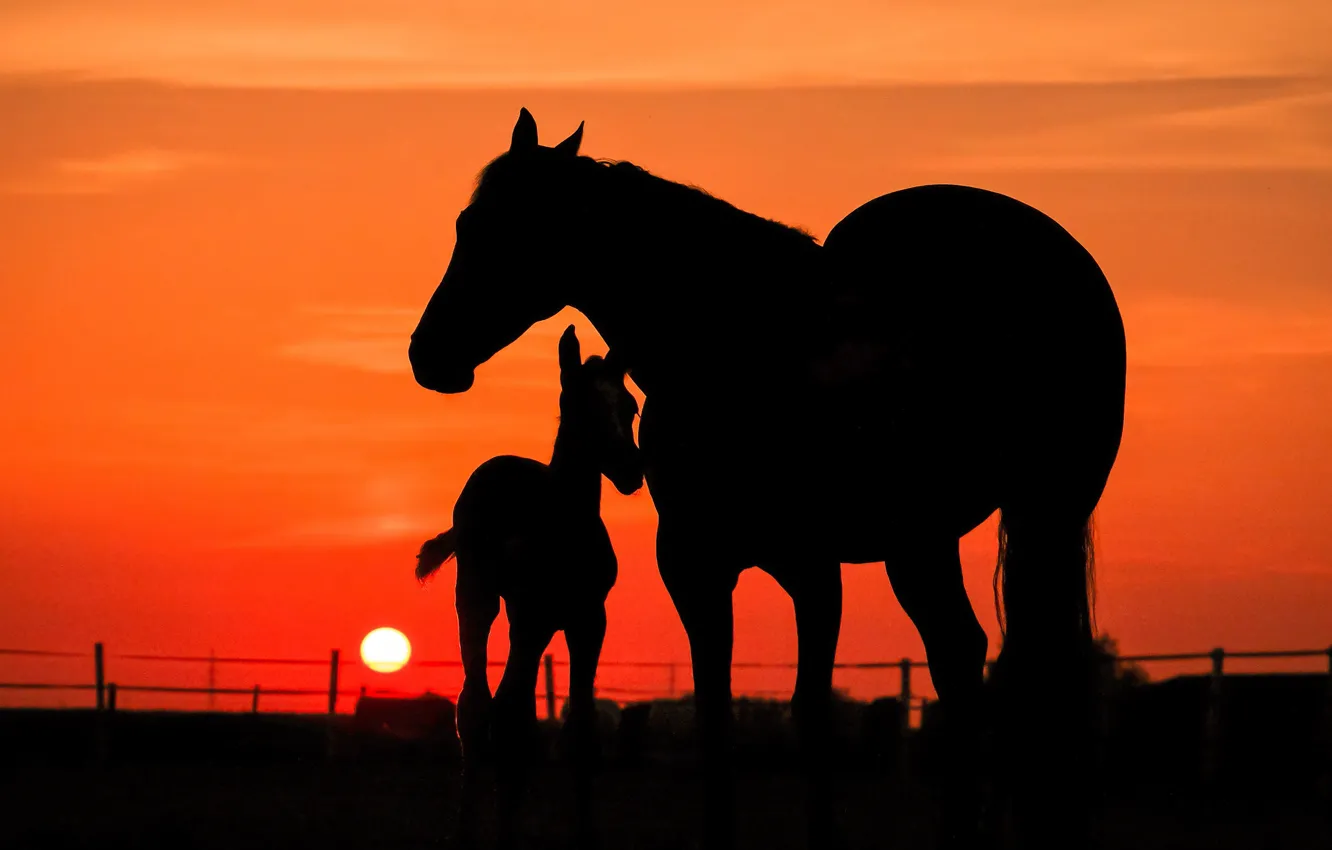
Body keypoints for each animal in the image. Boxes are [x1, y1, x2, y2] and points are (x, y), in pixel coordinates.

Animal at [418, 325, 642, 847]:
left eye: (629, 407)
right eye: (578, 405)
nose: (631, 470)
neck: (564, 525)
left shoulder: (588, 620)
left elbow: (580, 731)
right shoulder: (533, 615)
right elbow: (508, 721)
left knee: (508, 711)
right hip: (480, 600)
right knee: (480, 709)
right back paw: (469, 830)